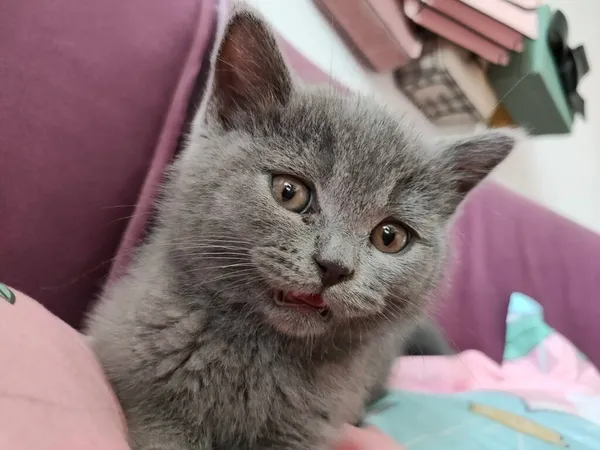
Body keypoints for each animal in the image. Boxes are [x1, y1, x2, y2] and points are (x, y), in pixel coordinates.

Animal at [86, 6, 516, 450]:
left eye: (390, 236)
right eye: (289, 192)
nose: (334, 266)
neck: (258, 349)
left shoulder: (307, 430)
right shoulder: (149, 396)